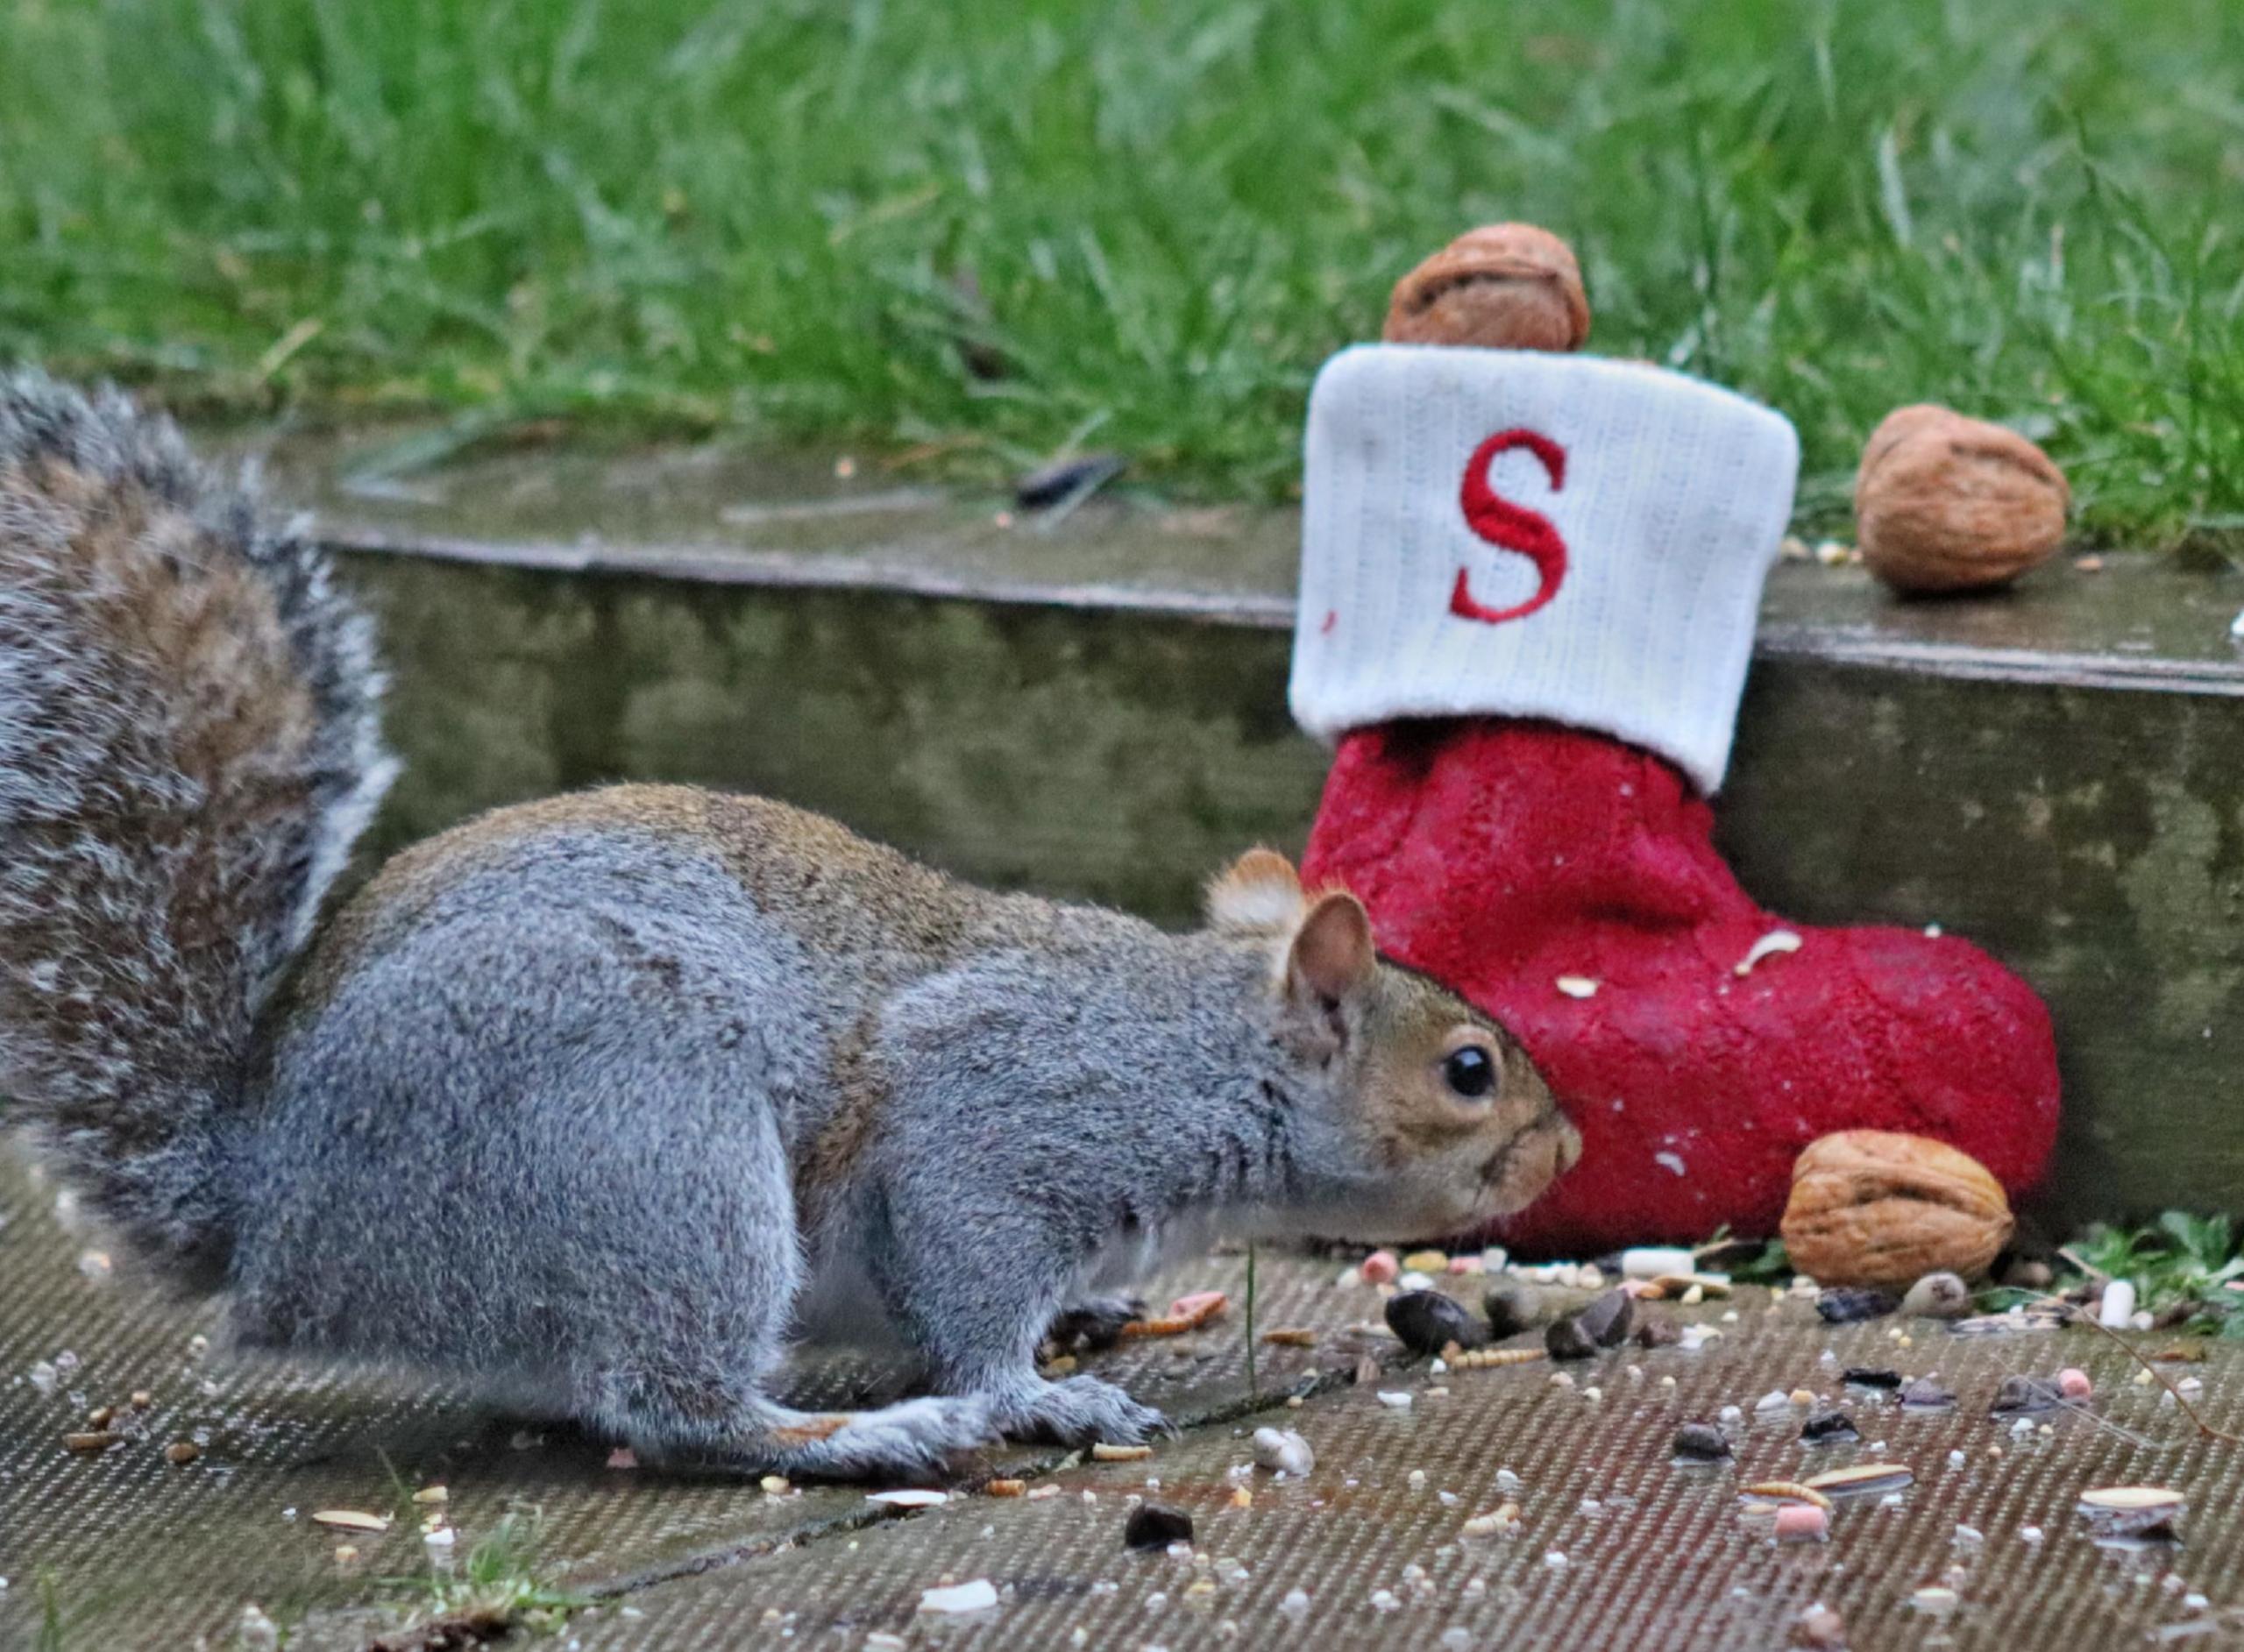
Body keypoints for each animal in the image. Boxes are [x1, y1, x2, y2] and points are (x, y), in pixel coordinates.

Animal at [0, 377, 1580, 1481]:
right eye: (1469, 1070)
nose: (1568, 1148)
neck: (1191, 1047)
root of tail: (270, 1210)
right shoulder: (999, 1122)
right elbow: (968, 1275)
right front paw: (1037, 1389)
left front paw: (1084, 1325)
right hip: (646, 1141)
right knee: (674, 1409)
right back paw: (862, 1441)